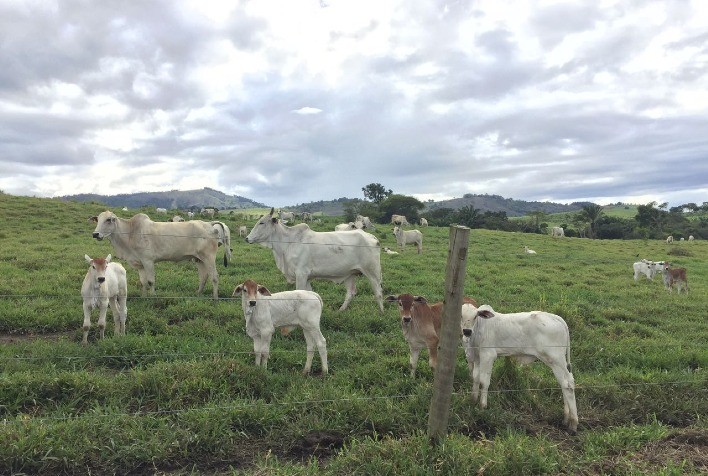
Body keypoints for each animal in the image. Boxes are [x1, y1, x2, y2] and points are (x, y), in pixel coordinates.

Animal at [90, 211, 224, 299]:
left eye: (108, 220)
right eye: (98, 220)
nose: (95, 234)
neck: (130, 233)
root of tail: (209, 224)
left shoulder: (148, 261)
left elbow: (150, 281)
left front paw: (153, 296)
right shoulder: (140, 264)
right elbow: (143, 281)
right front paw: (144, 296)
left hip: (209, 257)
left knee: (214, 277)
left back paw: (215, 298)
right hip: (199, 259)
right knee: (203, 277)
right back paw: (198, 293)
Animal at [245, 208, 384, 312]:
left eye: (262, 222)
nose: (247, 238)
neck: (288, 243)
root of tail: (371, 236)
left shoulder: (301, 274)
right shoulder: (307, 277)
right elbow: (310, 294)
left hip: (372, 272)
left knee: (378, 292)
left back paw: (381, 313)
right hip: (350, 274)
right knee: (351, 293)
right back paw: (341, 310)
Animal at [460, 304, 578, 433]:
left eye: (475, 316)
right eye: (460, 315)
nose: (467, 331)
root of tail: (556, 317)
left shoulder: (488, 355)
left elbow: (484, 382)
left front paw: (482, 407)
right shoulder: (477, 358)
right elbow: (475, 378)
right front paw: (473, 400)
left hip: (556, 360)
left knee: (568, 385)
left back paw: (573, 424)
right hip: (558, 362)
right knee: (565, 383)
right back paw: (566, 419)